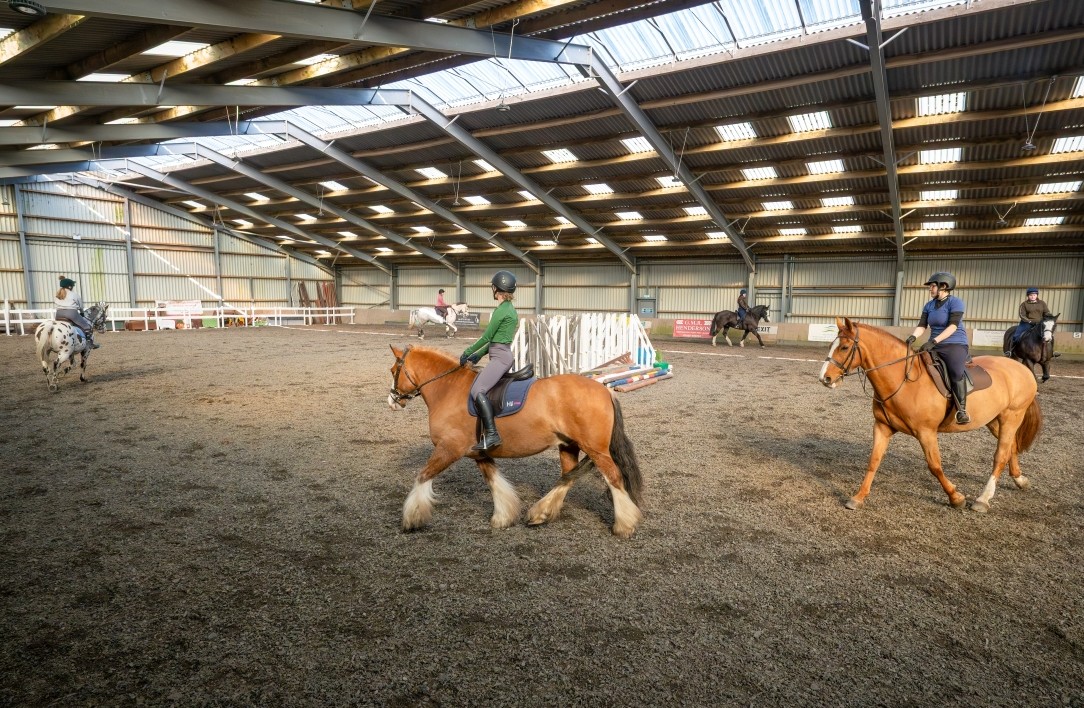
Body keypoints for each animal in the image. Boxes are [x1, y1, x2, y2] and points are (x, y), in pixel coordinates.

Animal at [386, 345, 644, 538]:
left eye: (393, 370)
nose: (392, 401)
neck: (448, 389)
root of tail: (605, 390)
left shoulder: (449, 448)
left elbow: (423, 476)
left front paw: (412, 518)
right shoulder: (479, 454)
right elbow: (494, 483)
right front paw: (503, 517)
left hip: (597, 450)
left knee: (613, 477)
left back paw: (624, 525)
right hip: (569, 445)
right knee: (568, 476)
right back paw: (541, 513)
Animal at [819, 317, 1042, 513]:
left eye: (844, 347)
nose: (824, 378)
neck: (903, 381)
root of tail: (1022, 368)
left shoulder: (926, 432)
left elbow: (935, 466)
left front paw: (956, 498)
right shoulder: (882, 426)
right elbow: (873, 460)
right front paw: (858, 498)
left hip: (1012, 417)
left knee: (1001, 455)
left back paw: (983, 499)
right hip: (995, 420)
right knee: (1012, 447)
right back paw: (1020, 480)